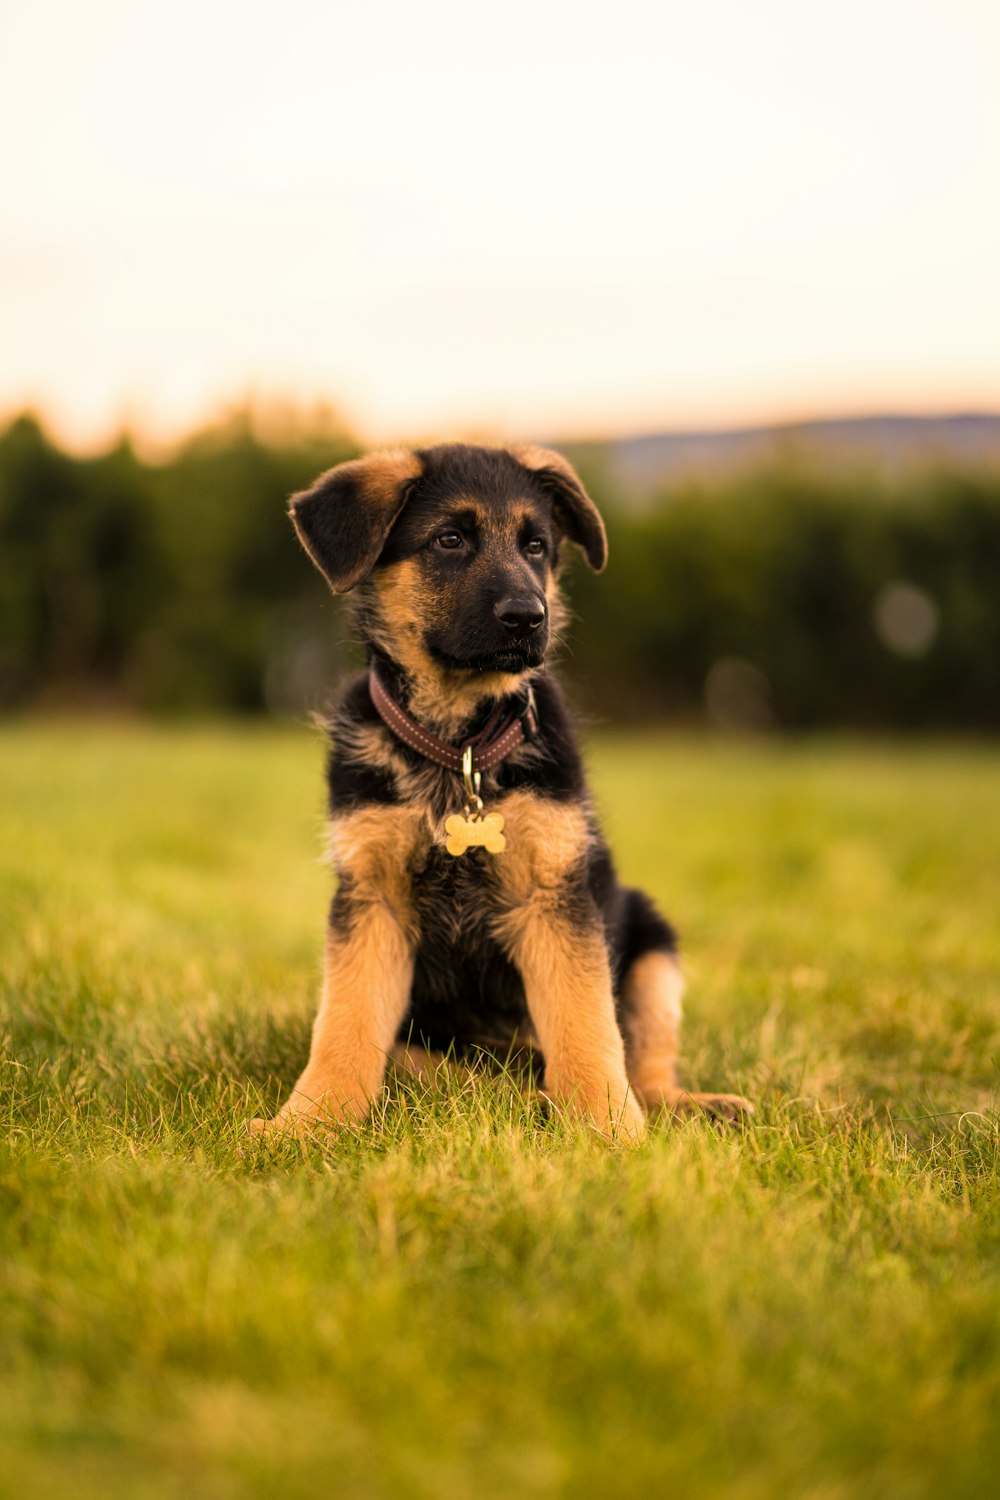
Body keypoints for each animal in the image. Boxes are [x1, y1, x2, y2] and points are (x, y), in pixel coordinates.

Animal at [250, 441, 749, 1134]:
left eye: (535, 546)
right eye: (450, 540)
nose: (528, 618)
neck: (458, 744)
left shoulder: (554, 898)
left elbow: (585, 1021)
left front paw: (607, 1126)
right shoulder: (372, 901)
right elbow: (344, 1023)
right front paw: (310, 1123)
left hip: (653, 943)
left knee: (644, 1064)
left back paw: (684, 1104)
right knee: (442, 1068)